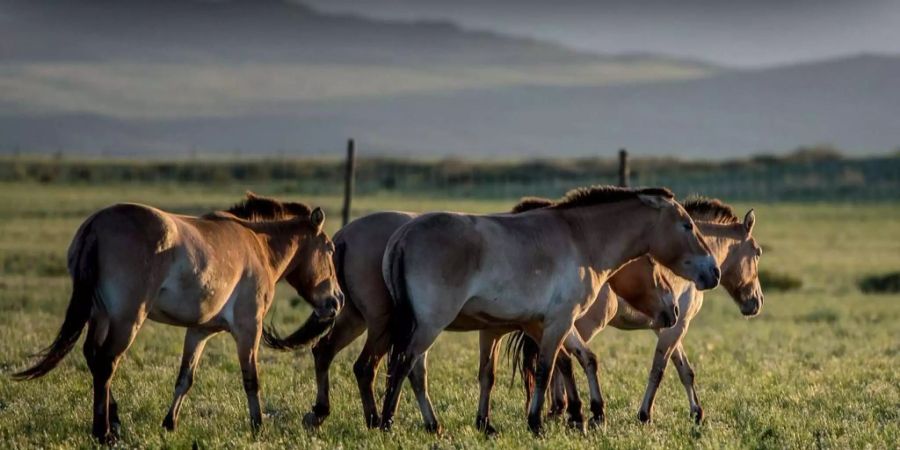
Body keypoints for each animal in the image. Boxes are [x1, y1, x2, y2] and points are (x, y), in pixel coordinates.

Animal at [13, 192, 344, 442]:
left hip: (101, 316)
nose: (337, 301)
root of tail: (96, 225)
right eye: (329, 249)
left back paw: (114, 421)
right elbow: (251, 380)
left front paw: (169, 423)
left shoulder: (199, 332)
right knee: (106, 363)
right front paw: (258, 427)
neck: (256, 244)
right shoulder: (248, 328)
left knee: (93, 357)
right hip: (127, 320)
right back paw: (103, 432)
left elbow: (185, 378)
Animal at [264, 207, 680, 432]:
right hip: (386, 324)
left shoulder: (512, 327)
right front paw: (570, 414)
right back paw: (378, 419)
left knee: (327, 353)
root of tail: (346, 235)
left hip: (355, 317)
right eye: (654, 268)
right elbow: (559, 363)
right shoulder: (551, 324)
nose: (673, 311)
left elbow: (558, 362)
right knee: (375, 366)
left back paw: (325, 413)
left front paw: (570, 414)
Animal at [382, 185, 724, 434]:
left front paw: (586, 415)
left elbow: (572, 361)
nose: (714, 272)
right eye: (687, 225)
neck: (580, 238)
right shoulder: (559, 321)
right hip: (430, 325)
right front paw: (538, 423)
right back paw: (386, 423)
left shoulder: (548, 323)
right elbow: (547, 368)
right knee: (404, 365)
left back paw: (431, 425)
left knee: (416, 371)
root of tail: (402, 237)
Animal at [516, 197, 764, 426]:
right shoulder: (678, 326)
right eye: (758, 252)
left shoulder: (665, 326)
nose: (758, 301)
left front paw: (697, 413)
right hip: (580, 324)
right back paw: (566, 410)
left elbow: (685, 370)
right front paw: (645, 415)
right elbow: (659, 369)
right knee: (564, 359)